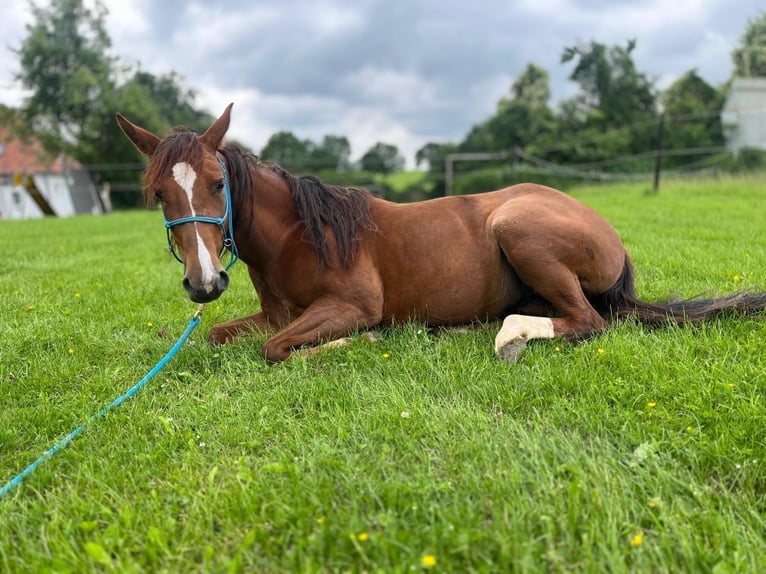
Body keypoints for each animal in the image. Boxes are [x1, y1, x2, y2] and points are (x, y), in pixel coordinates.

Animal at [114, 104, 766, 364]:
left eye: (217, 182)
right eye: (160, 194)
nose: (204, 284)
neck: (302, 235)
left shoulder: (351, 305)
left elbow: (276, 349)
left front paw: (359, 343)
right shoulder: (278, 314)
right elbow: (220, 335)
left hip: (520, 229)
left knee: (588, 321)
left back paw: (510, 338)